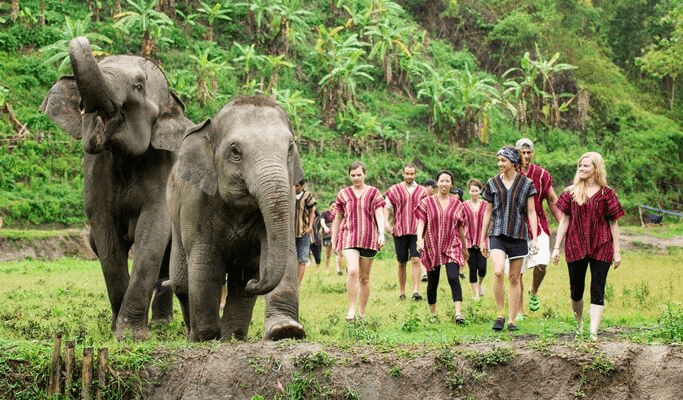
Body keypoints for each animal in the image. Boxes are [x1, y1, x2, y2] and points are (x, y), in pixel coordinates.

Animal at [40, 36, 192, 340]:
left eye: (139, 86)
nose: (83, 38)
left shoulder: (164, 168)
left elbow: (153, 232)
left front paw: (132, 335)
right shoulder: (96, 174)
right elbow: (106, 238)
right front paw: (116, 329)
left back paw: (162, 324)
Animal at [170, 94, 308, 340]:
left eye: (290, 148)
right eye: (235, 152)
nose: (255, 281)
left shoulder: (289, 196)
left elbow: (284, 252)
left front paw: (286, 330)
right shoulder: (195, 201)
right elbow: (206, 259)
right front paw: (206, 336)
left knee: (238, 282)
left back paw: (233, 337)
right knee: (180, 283)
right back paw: (194, 334)